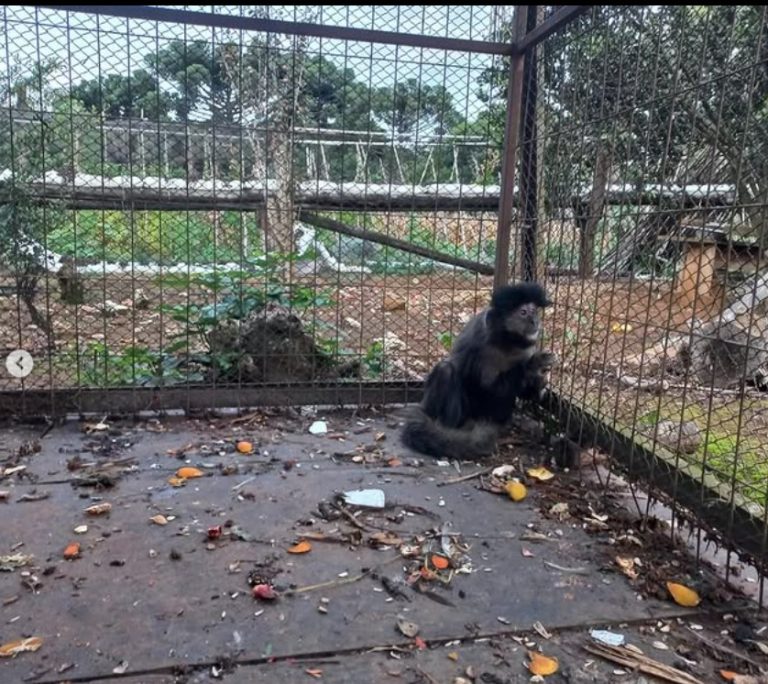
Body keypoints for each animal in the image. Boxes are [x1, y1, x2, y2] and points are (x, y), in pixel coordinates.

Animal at [401, 282, 555, 460]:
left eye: (534, 311)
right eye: (523, 312)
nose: (535, 320)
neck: (508, 342)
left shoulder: (528, 347)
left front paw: (539, 383)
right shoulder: (481, 342)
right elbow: (488, 387)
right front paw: (533, 366)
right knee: (445, 370)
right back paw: (445, 431)